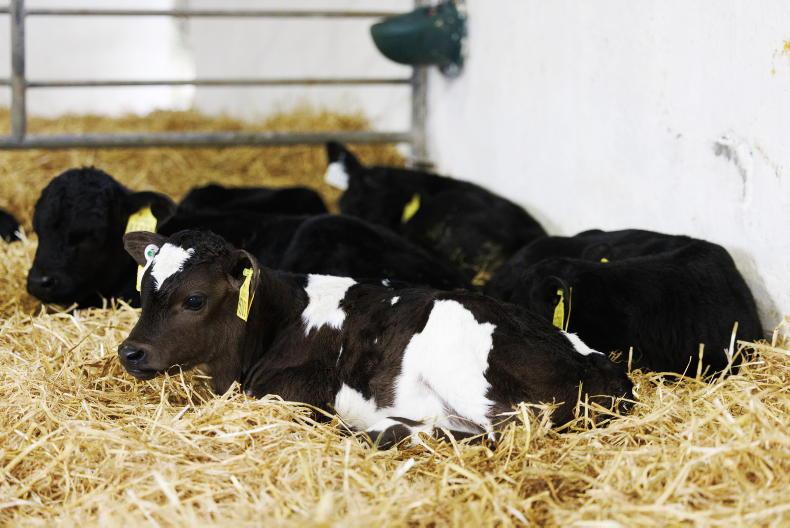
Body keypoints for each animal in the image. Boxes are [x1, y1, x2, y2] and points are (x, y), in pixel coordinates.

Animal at [118, 229, 633, 448]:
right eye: (144, 289)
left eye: (195, 299)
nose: (129, 352)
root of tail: (602, 365)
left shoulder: (297, 393)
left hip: (462, 364)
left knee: (503, 432)